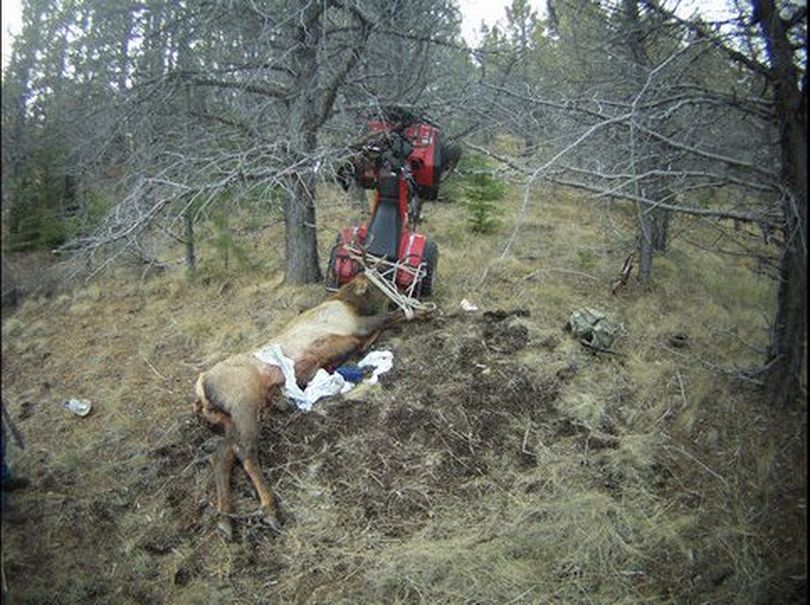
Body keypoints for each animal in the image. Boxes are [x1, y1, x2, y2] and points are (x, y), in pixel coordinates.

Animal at [193, 274, 426, 536]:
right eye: (378, 281)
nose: (404, 290)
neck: (349, 303)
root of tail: (201, 389)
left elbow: (387, 322)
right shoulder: (355, 325)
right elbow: (388, 317)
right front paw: (422, 311)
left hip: (230, 419)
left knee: (222, 455)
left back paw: (224, 519)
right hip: (243, 403)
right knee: (245, 450)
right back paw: (269, 509)